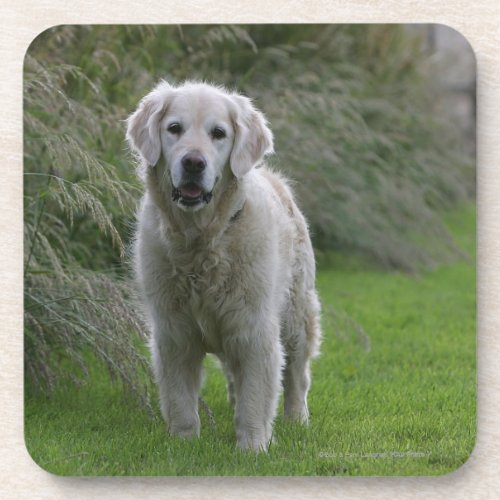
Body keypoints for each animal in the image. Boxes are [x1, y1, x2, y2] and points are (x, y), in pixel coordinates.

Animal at [127, 82, 322, 454]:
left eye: (218, 133)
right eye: (174, 128)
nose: (193, 163)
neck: (201, 242)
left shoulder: (254, 327)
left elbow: (256, 396)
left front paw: (253, 448)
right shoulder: (173, 331)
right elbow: (180, 399)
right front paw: (183, 443)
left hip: (296, 315)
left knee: (297, 376)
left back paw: (297, 420)